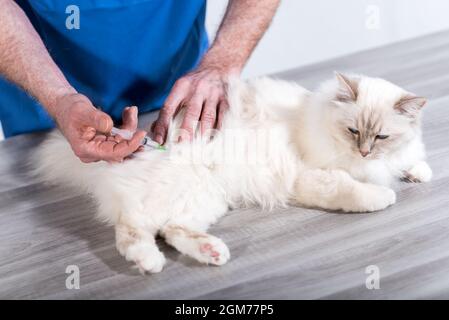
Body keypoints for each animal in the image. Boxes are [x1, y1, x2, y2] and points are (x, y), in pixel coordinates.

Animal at [34, 74, 430, 274]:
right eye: (354, 132)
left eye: (381, 137)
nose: (364, 151)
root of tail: (142, 142)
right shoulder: (311, 177)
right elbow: (352, 189)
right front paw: (383, 195)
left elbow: (412, 160)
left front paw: (416, 172)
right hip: (173, 194)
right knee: (131, 230)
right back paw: (150, 262)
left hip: (206, 198)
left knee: (172, 228)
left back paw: (212, 252)